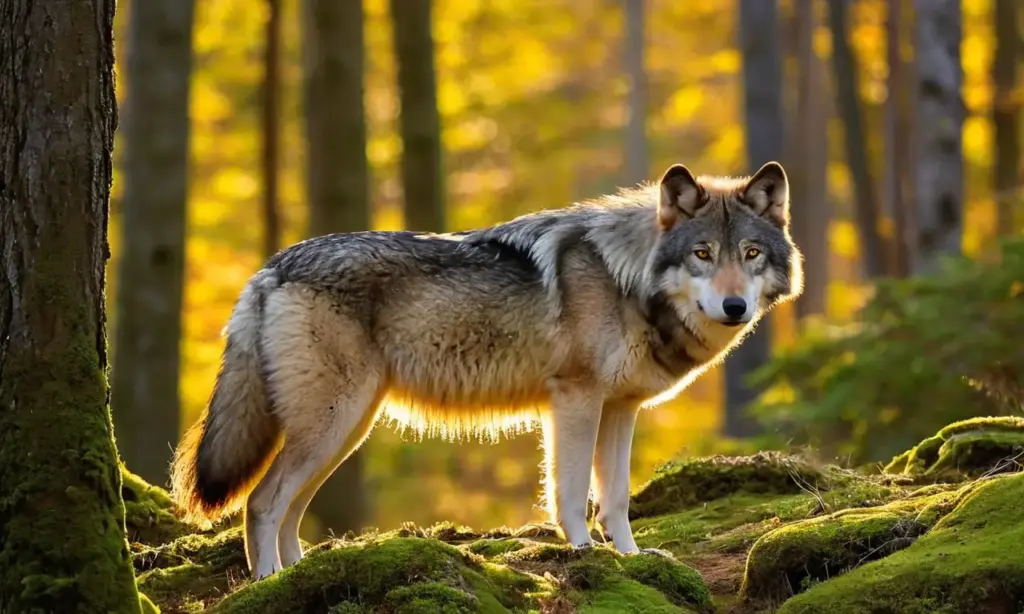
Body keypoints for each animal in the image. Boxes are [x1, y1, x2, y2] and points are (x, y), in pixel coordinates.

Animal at [170, 161, 803, 579]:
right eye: (702, 254)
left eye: (750, 254)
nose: (734, 307)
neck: (628, 280)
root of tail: (270, 267)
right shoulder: (575, 401)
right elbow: (571, 493)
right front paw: (584, 555)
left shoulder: (620, 409)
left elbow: (617, 497)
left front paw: (629, 558)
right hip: (332, 424)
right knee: (261, 504)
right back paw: (268, 584)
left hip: (346, 431)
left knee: (289, 512)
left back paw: (298, 580)